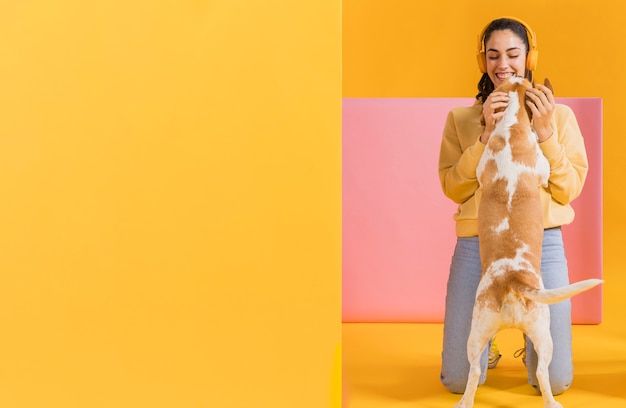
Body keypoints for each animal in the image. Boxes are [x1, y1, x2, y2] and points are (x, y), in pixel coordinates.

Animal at [454, 76, 600, 408]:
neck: (511, 128)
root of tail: (512, 280)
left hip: (476, 334)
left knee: (472, 374)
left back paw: (465, 402)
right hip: (544, 334)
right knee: (544, 375)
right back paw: (553, 403)